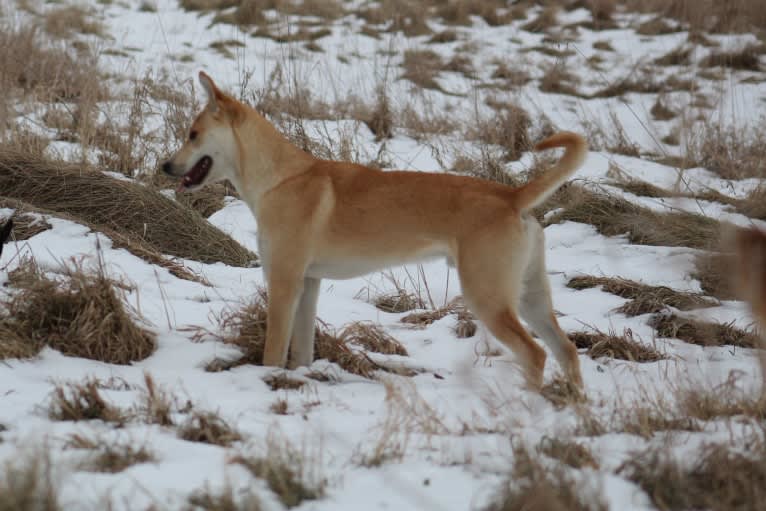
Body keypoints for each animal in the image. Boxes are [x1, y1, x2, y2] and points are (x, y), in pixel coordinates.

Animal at [164, 72, 588, 390]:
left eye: (193, 134)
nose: (165, 166)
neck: (278, 179)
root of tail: (513, 196)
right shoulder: (309, 283)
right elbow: (301, 351)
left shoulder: (284, 281)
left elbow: (273, 350)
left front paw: (267, 380)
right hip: (530, 296)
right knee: (566, 350)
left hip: (488, 296)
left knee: (535, 354)